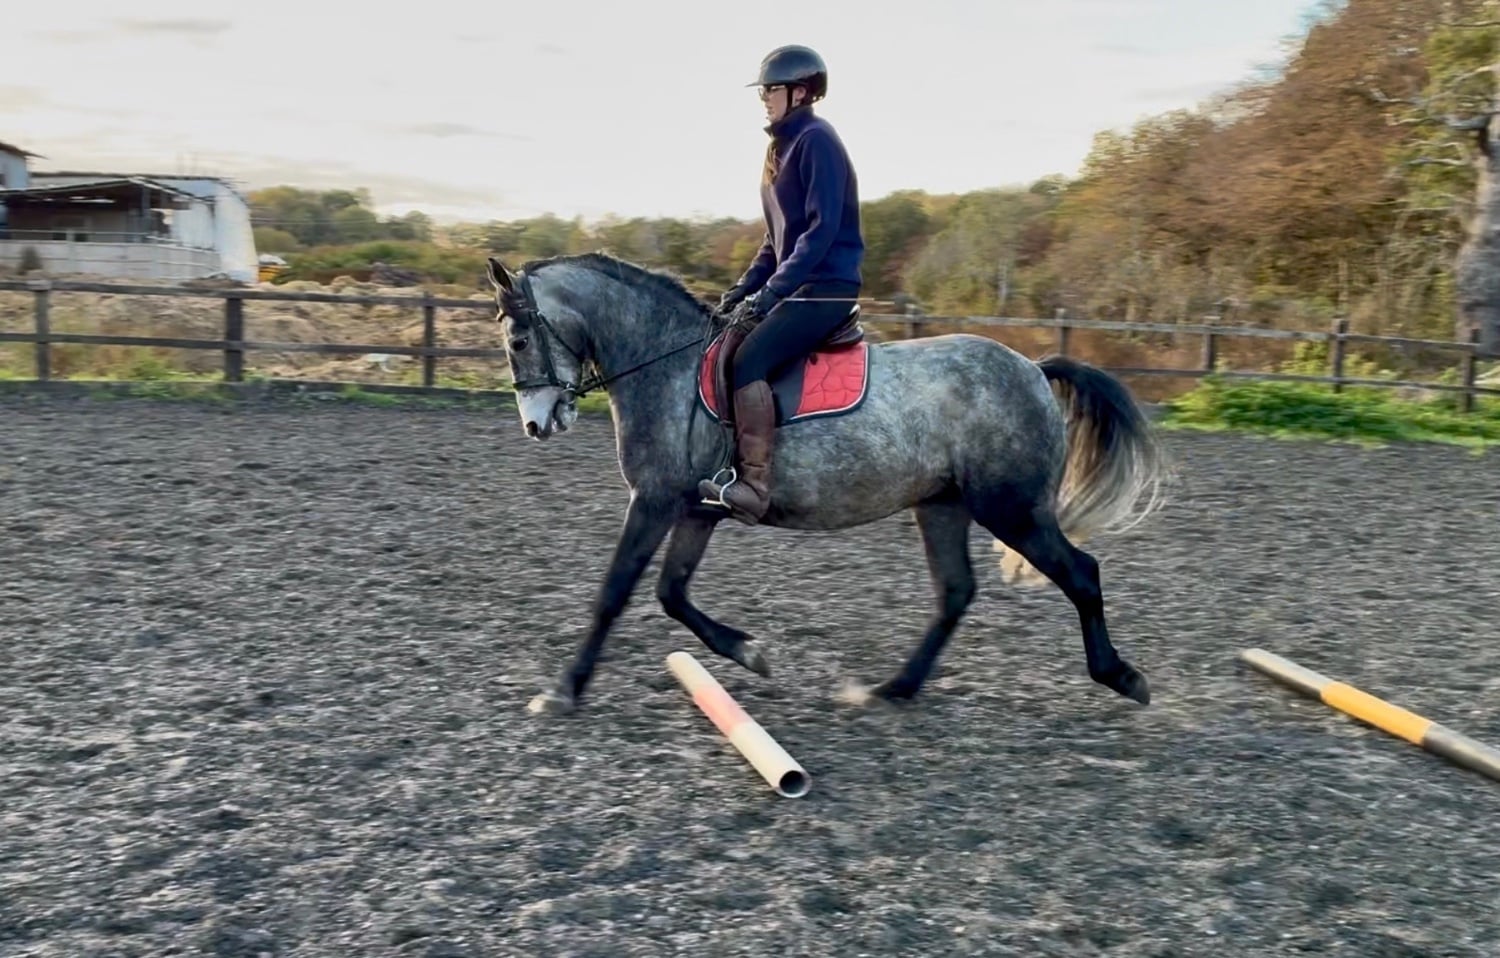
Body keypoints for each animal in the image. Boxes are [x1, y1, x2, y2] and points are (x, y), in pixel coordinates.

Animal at [483, 251, 1170, 716]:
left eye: (517, 338)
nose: (538, 424)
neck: (667, 365)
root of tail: (1031, 367)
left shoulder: (653, 502)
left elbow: (615, 593)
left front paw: (563, 690)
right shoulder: (696, 508)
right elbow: (672, 593)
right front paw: (749, 652)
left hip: (1013, 510)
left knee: (1081, 575)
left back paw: (1123, 677)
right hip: (943, 504)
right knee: (955, 592)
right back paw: (891, 690)